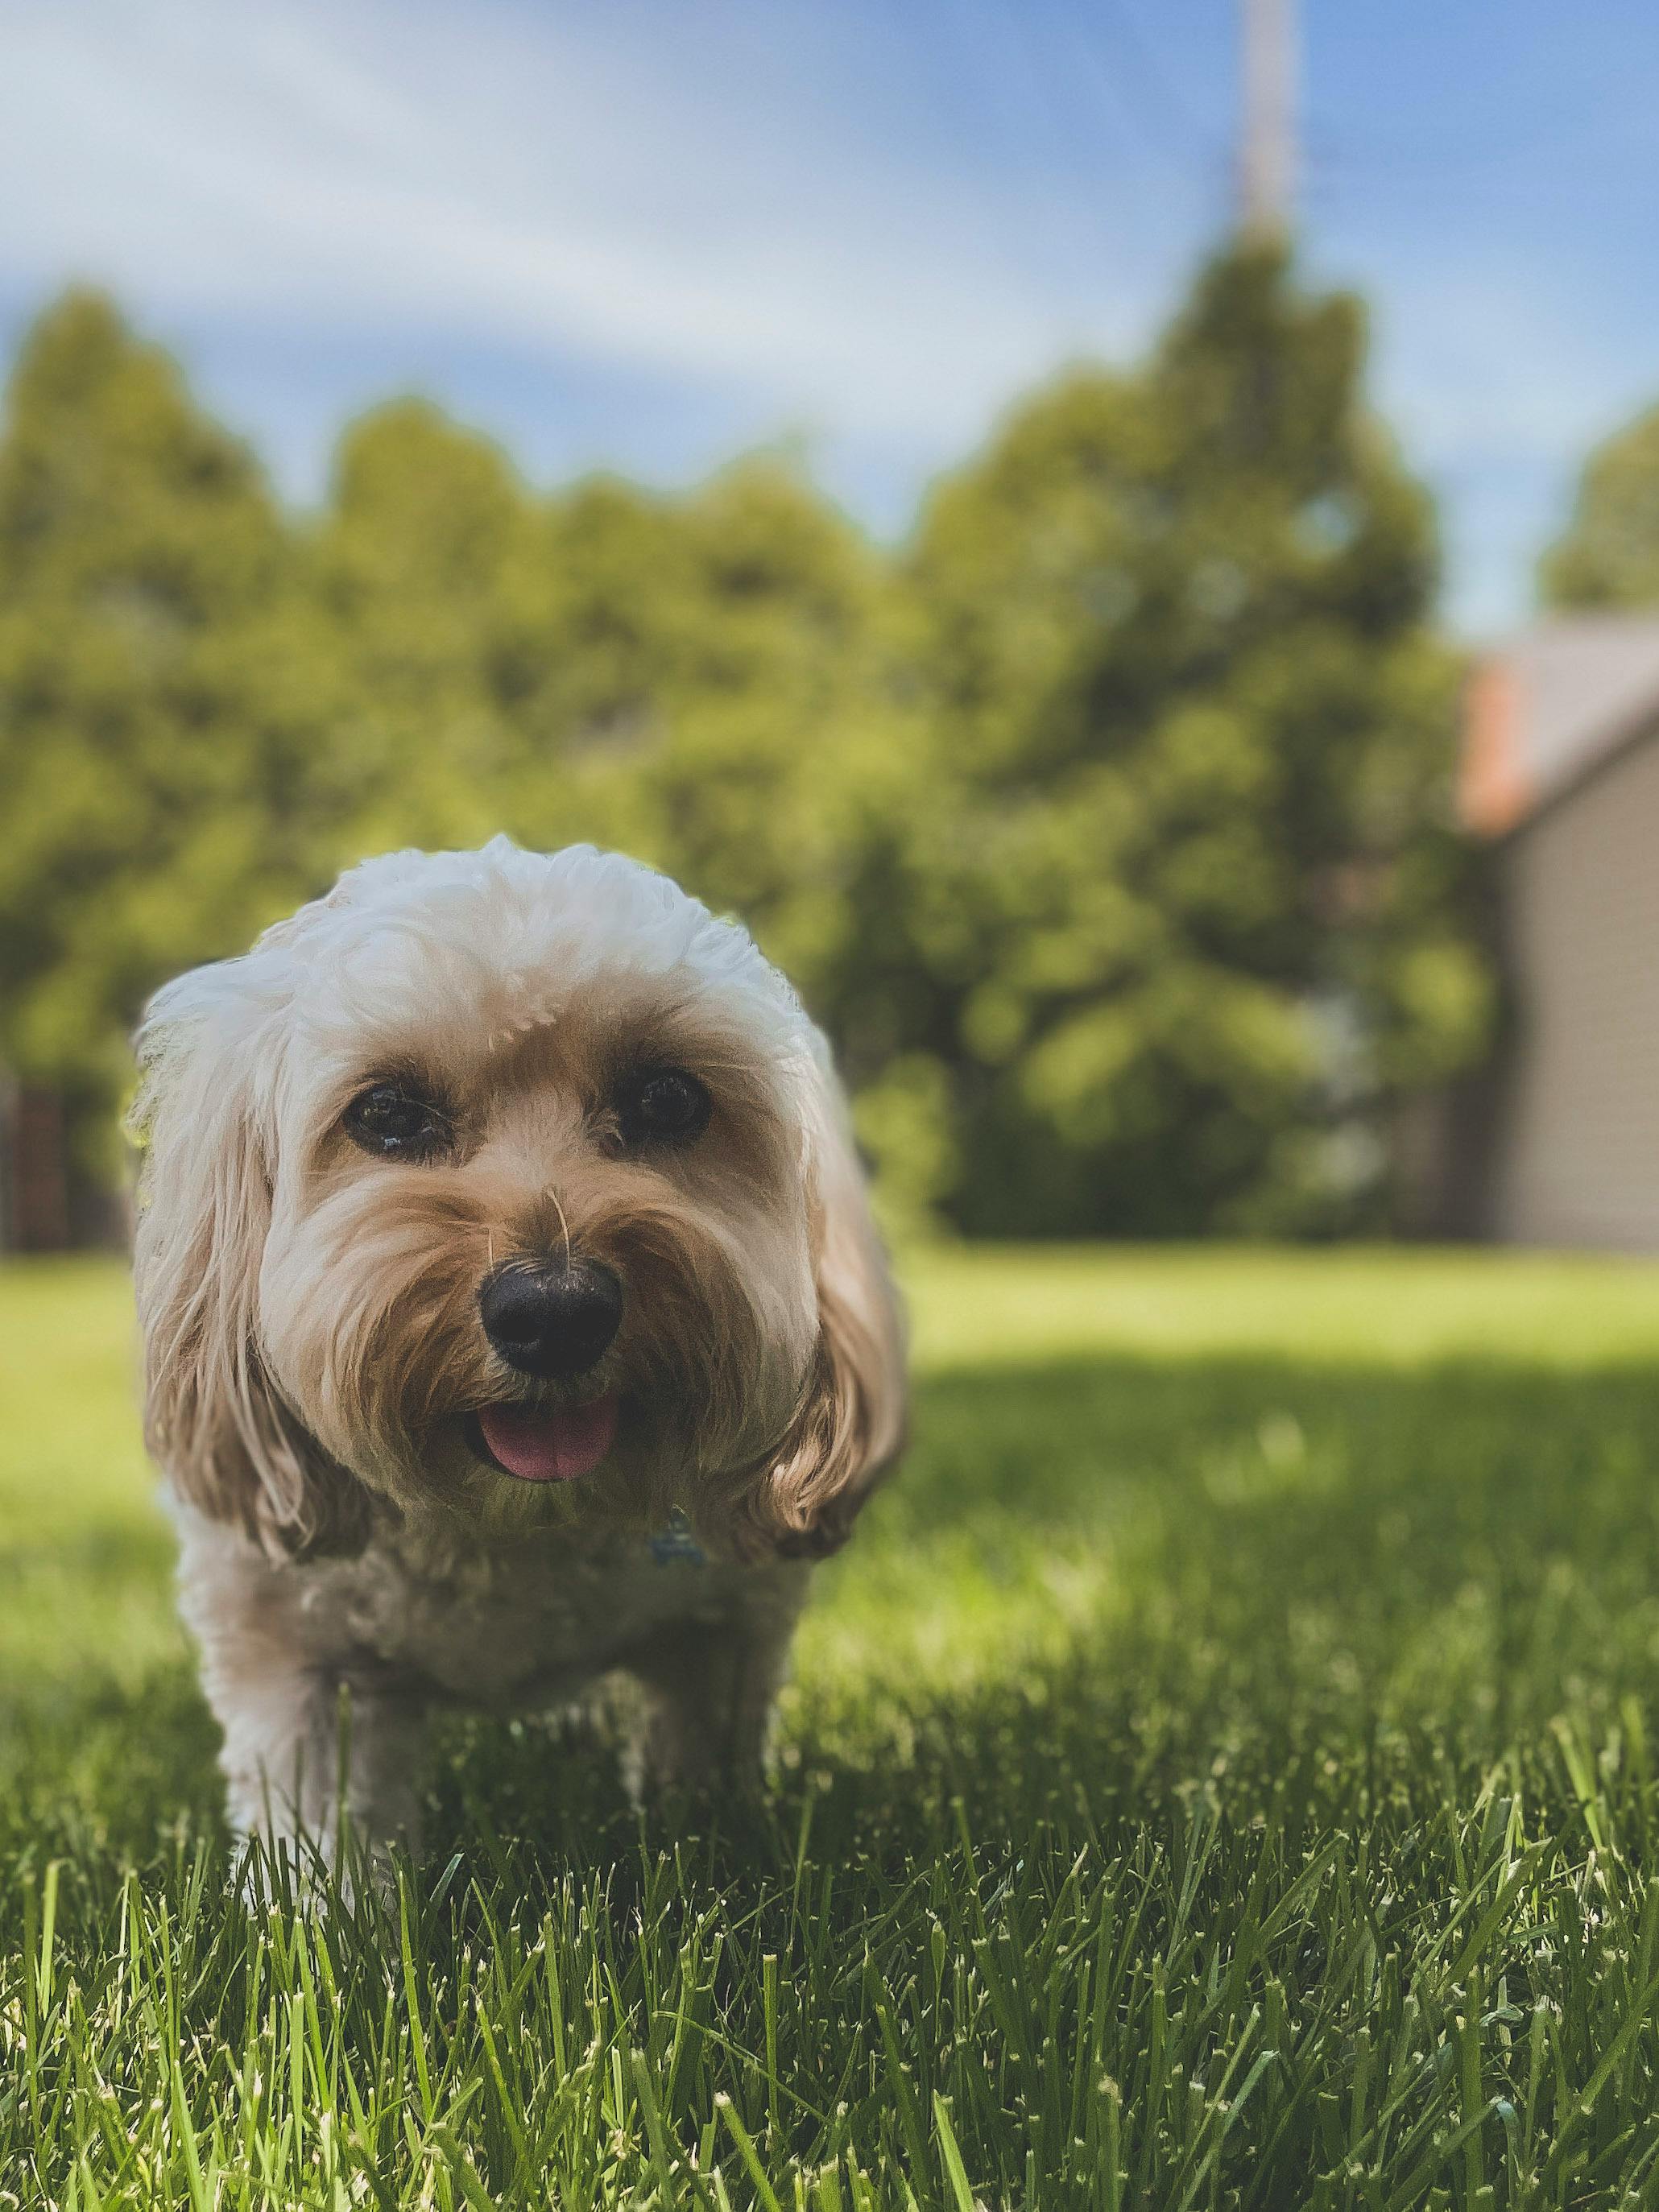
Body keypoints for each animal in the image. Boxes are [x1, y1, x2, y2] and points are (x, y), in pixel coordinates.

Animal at [130, 840, 911, 1867]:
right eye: (387, 1112)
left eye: (669, 1098)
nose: (553, 1310)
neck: (511, 1528)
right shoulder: (287, 1651)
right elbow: (312, 1837)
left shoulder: (727, 1628)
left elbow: (701, 1769)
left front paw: (706, 1844)